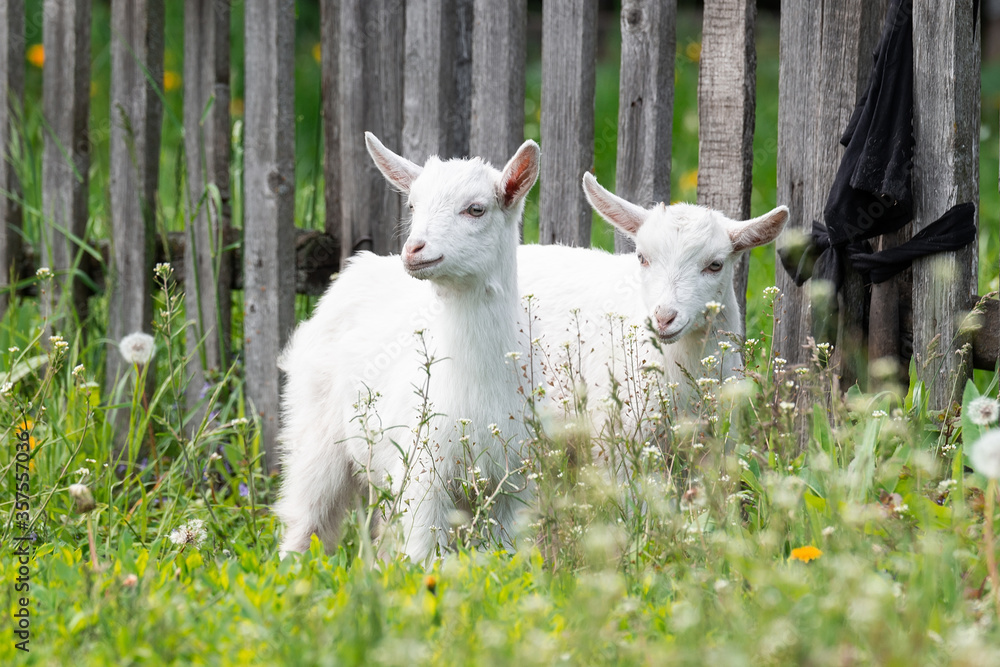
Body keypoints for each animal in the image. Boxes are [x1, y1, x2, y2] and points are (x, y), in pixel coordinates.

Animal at [275, 133, 540, 564]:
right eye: (413, 205)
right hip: (315, 431)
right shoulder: (424, 476)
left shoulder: (513, 481)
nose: (415, 249)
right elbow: (423, 556)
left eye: (476, 209)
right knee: (308, 515)